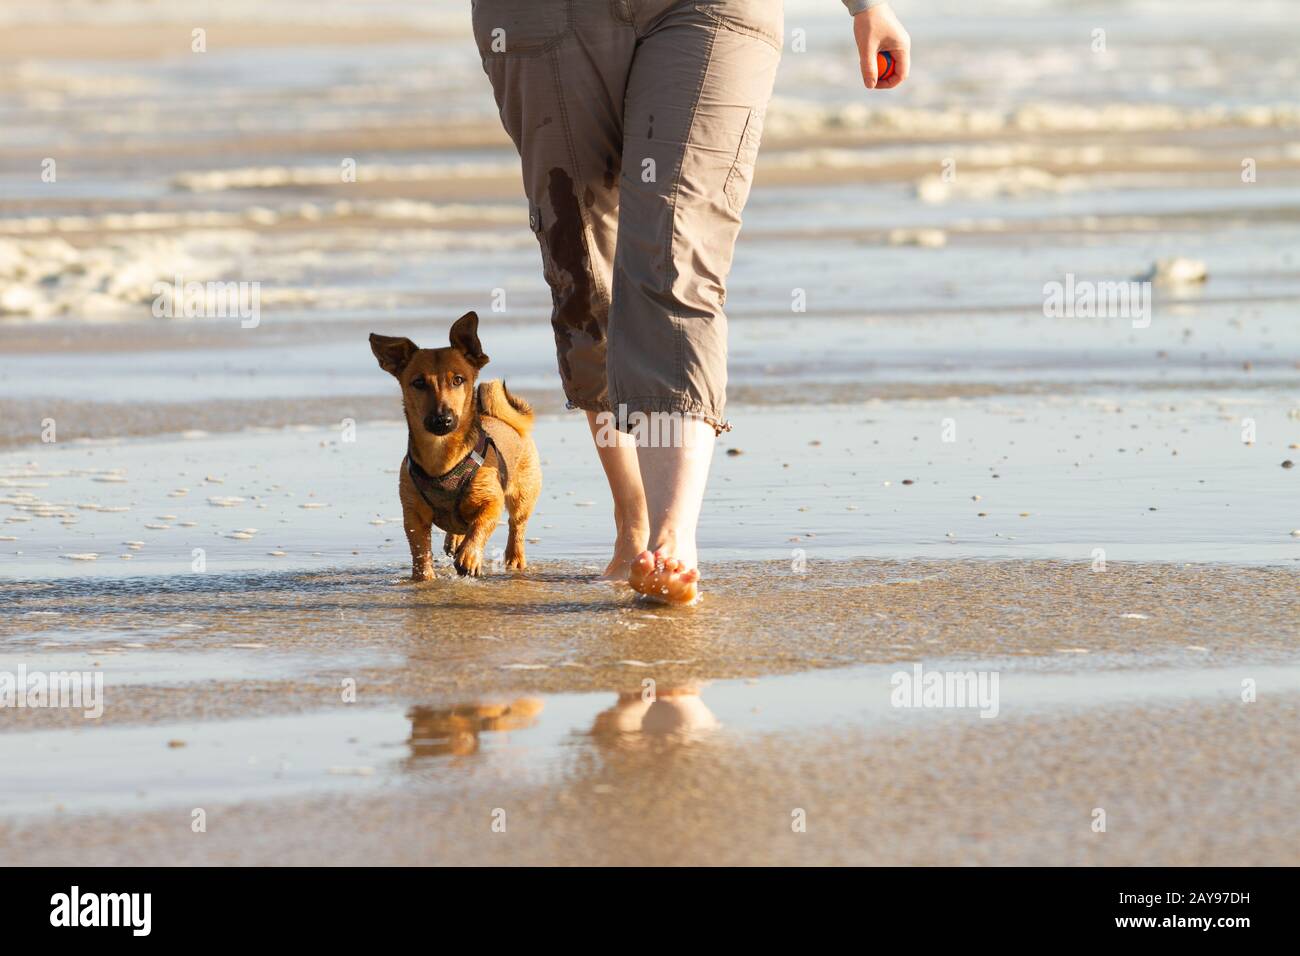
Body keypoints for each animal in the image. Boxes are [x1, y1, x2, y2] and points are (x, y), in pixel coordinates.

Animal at [371, 314, 538, 582]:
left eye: (458, 380)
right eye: (419, 383)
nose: (442, 419)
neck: (442, 456)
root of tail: (504, 420)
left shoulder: (491, 501)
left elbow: (480, 526)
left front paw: (470, 556)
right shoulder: (413, 515)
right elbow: (420, 549)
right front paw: (424, 575)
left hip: (523, 496)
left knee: (517, 526)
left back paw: (514, 557)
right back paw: (455, 540)